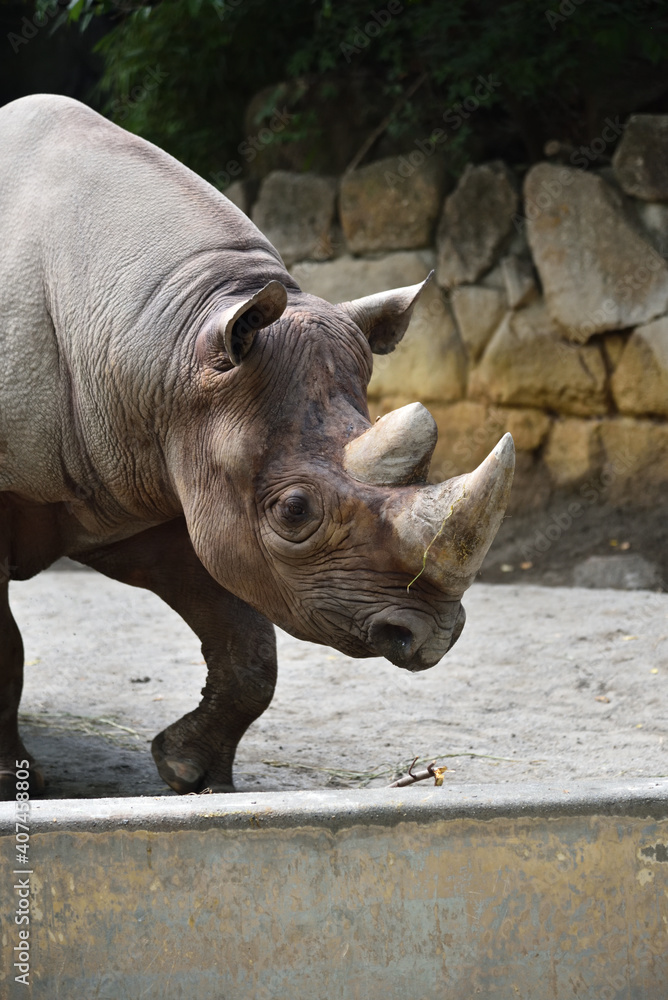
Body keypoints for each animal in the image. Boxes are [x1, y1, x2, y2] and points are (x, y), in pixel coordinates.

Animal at [0, 94, 514, 799]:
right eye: (294, 511)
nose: (431, 637)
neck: (171, 340)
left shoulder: (145, 480)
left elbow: (249, 642)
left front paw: (190, 773)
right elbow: (4, 648)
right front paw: (9, 779)